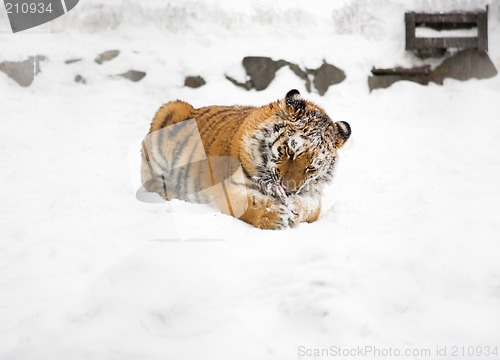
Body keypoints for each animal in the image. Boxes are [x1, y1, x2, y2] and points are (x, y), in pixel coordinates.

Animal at [141, 90, 352, 231]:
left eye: (311, 168)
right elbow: (251, 204)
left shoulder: (314, 195)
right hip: (170, 110)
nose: (289, 190)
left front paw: (295, 209)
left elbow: (310, 208)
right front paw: (275, 215)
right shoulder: (228, 188)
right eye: (290, 151)